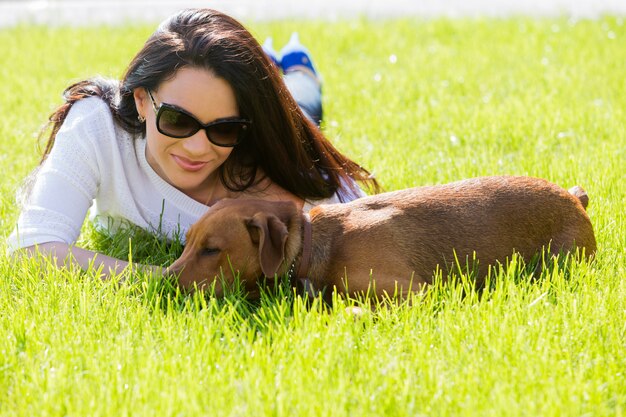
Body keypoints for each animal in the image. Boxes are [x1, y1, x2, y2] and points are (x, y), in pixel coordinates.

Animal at [167, 175, 596, 296]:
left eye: (212, 250)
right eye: (187, 244)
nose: (164, 283)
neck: (316, 244)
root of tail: (573, 198)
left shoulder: (417, 293)